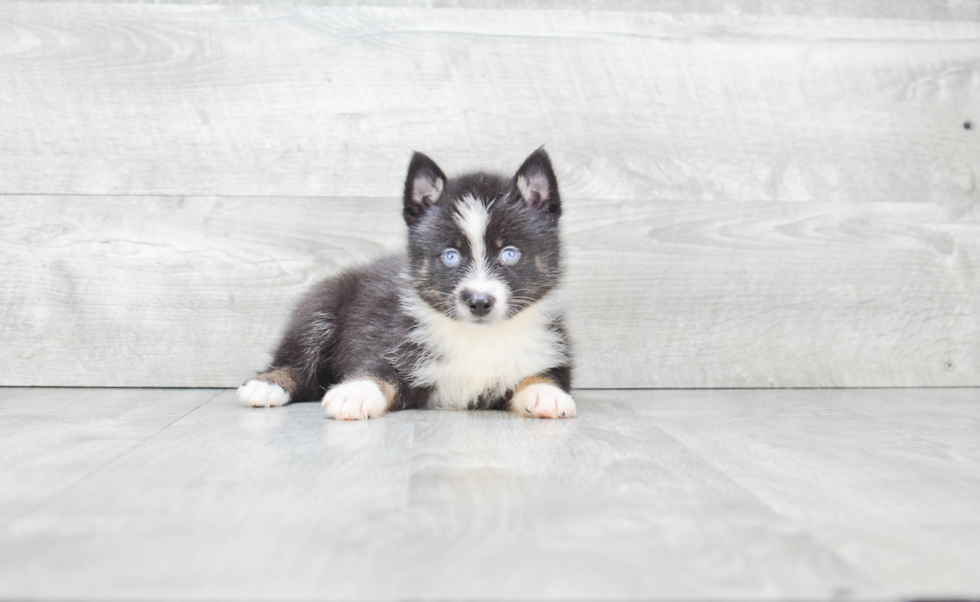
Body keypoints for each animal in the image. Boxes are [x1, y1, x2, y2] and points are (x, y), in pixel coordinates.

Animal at [237, 147, 576, 418]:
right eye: (450, 256)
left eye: (510, 254)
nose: (479, 302)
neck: (478, 338)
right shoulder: (393, 337)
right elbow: (380, 369)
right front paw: (356, 392)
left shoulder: (552, 347)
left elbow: (544, 374)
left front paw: (546, 393)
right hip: (322, 306)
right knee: (300, 360)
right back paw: (268, 385)